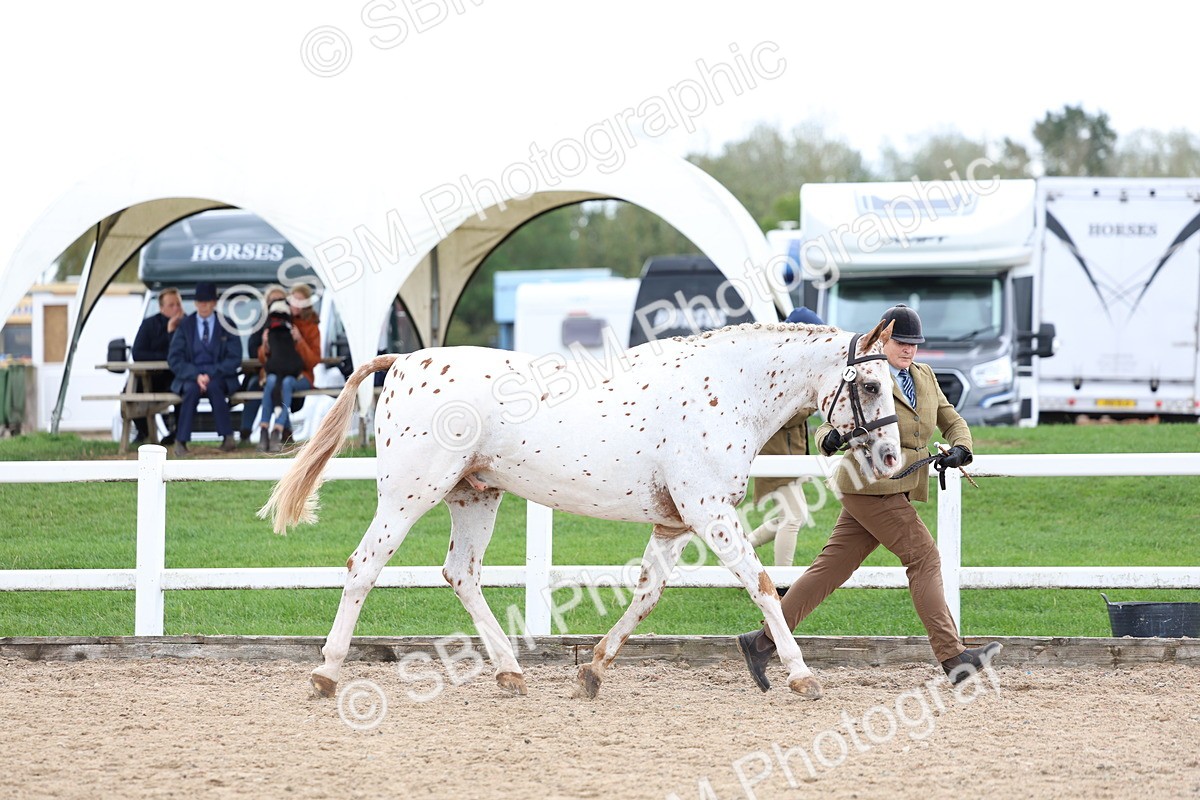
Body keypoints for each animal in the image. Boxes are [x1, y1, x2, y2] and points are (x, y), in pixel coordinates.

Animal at [259, 320, 902, 701]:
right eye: (870, 384)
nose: (893, 457)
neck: (725, 388)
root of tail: (401, 360)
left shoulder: (673, 523)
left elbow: (647, 595)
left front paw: (592, 670)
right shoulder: (709, 512)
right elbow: (764, 585)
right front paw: (801, 674)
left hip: (474, 495)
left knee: (461, 574)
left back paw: (510, 673)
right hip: (408, 495)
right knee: (363, 568)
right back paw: (325, 674)